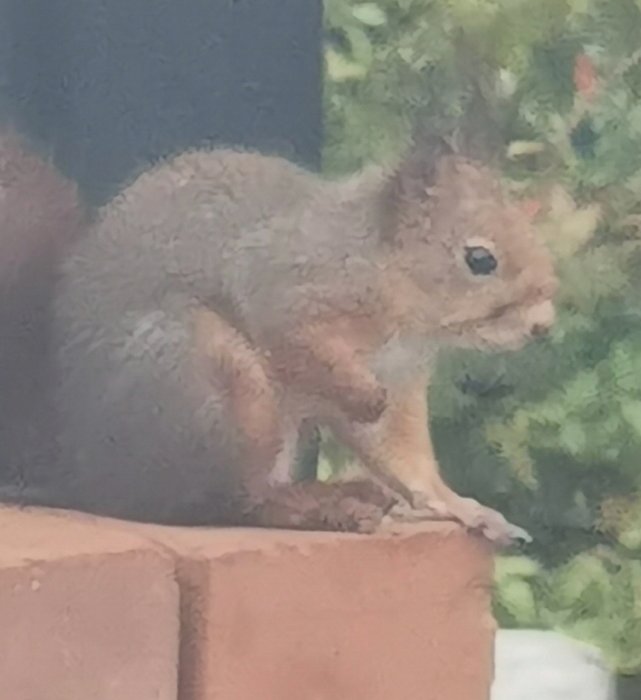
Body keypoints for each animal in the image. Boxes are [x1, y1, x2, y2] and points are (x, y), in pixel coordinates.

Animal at [0, 133, 556, 548]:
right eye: (479, 259)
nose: (543, 325)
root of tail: (87, 472)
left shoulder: (401, 375)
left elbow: (405, 458)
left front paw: (465, 509)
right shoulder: (287, 291)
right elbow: (295, 341)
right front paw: (362, 396)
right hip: (216, 382)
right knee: (230, 501)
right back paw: (325, 505)